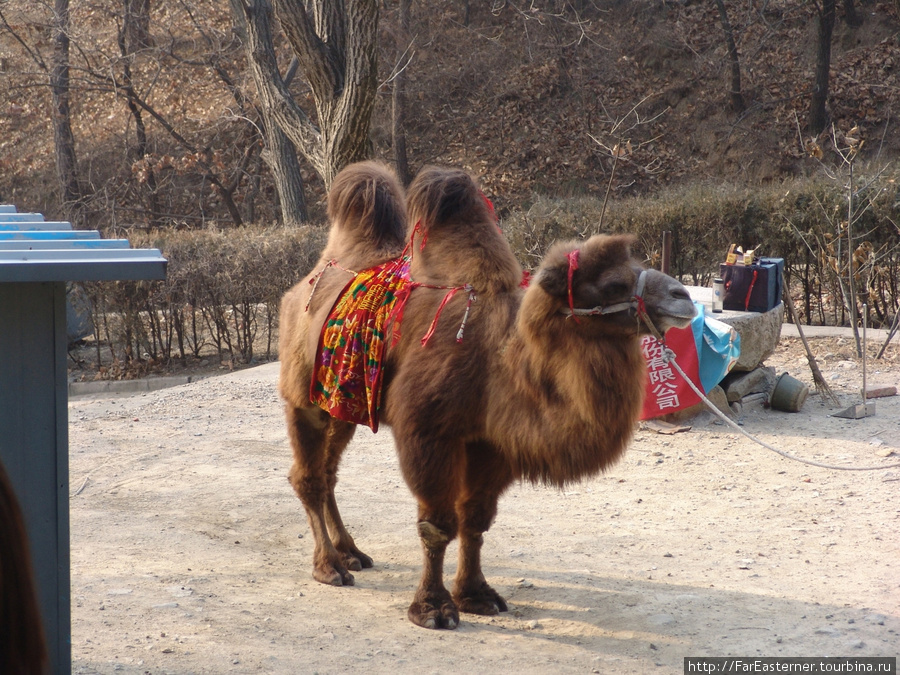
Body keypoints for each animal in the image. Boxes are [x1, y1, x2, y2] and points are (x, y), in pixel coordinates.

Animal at [280, 161, 696, 632]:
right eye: (611, 284)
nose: (683, 296)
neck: (502, 358)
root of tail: (307, 282)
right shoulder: (428, 433)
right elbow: (437, 525)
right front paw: (433, 608)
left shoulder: (490, 440)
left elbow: (475, 520)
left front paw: (476, 595)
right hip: (304, 397)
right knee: (309, 476)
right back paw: (330, 566)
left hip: (343, 404)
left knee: (330, 471)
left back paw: (351, 551)